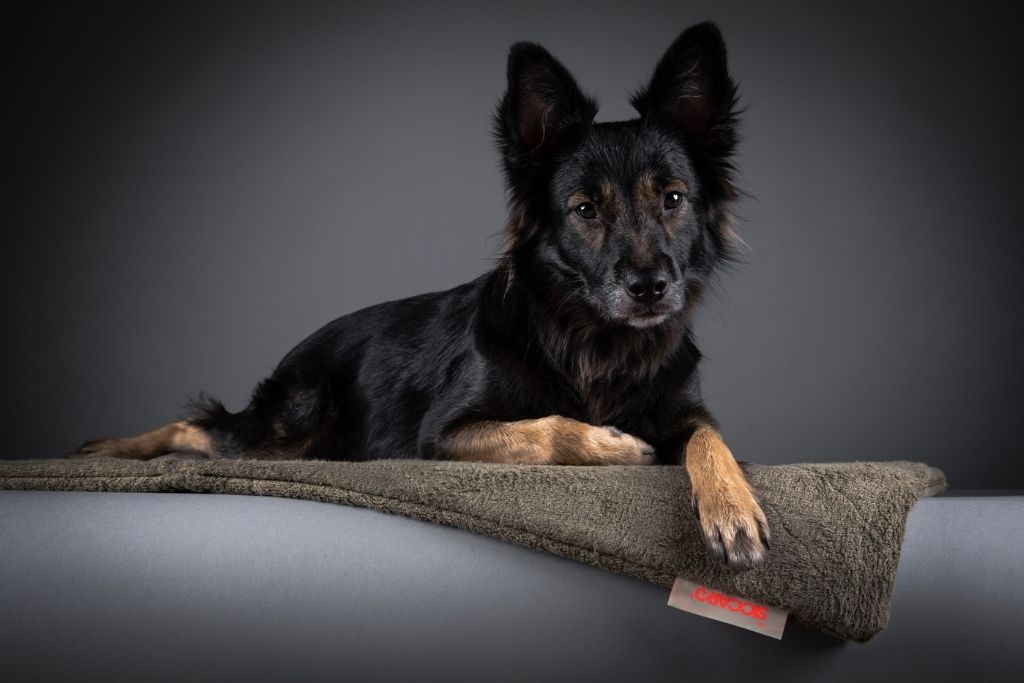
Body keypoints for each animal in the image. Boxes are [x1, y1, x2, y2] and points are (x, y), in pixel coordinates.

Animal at [72, 20, 770, 565]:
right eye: (584, 210)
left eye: (673, 199)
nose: (650, 288)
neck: (595, 340)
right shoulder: (446, 436)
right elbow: (547, 428)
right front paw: (612, 445)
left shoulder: (686, 410)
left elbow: (711, 440)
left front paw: (733, 506)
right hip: (298, 418)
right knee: (202, 428)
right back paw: (114, 449)